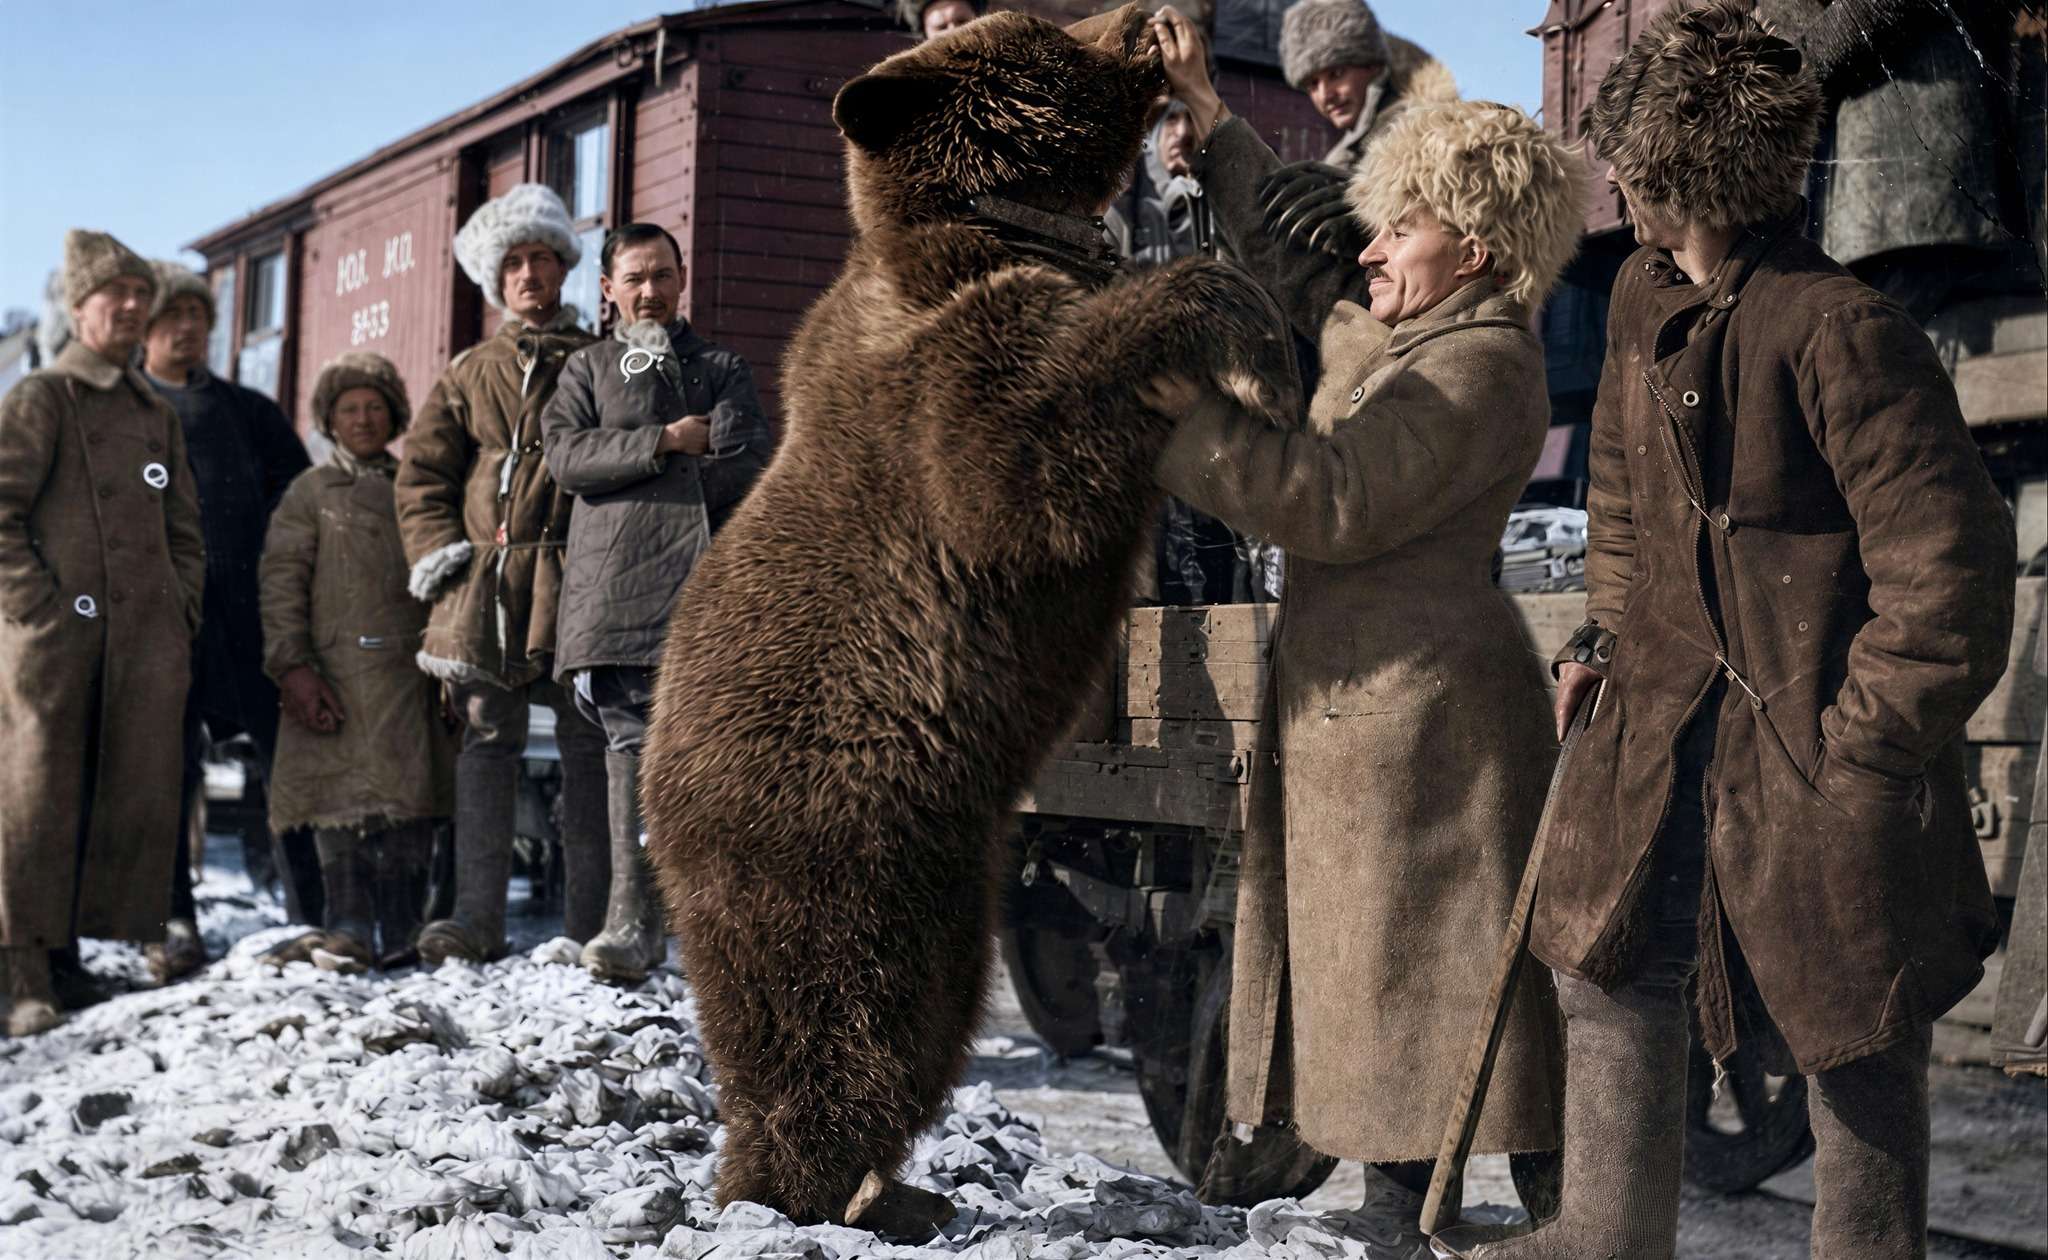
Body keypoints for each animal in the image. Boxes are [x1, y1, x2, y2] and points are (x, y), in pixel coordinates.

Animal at [638, 3, 1296, 1234]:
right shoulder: (948, 382)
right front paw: (1253, 340)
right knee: (849, 1021)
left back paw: (892, 1190)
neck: (1005, 228)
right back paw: (817, 1190)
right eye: (1056, 35)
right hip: (844, 841)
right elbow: (1025, 456)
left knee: (926, 1015)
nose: (1152, 19)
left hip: (940, 881)